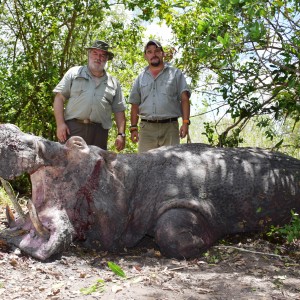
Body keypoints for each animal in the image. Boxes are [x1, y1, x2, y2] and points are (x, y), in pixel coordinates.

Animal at [0, 124, 298, 260]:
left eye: (78, 143)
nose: (9, 131)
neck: (125, 182)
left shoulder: (191, 202)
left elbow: (170, 232)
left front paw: (210, 240)